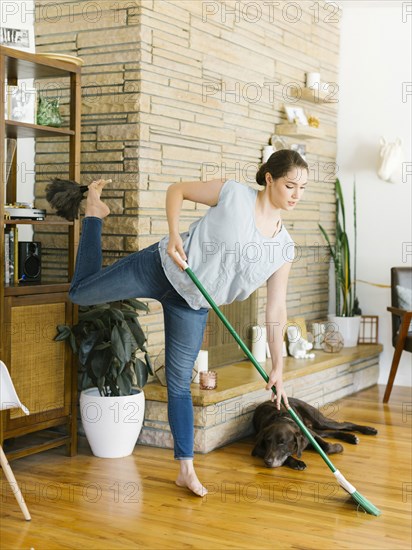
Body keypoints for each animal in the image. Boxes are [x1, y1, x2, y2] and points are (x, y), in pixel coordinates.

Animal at [249, 398, 378, 472]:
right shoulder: (257, 449)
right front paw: (297, 462)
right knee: (333, 432)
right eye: (267, 441)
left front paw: (338, 447)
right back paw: (351, 437)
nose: (267, 461)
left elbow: (327, 447)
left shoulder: (310, 435)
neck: (282, 418)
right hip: (317, 428)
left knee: (345, 424)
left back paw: (369, 430)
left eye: (282, 443)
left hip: (320, 421)